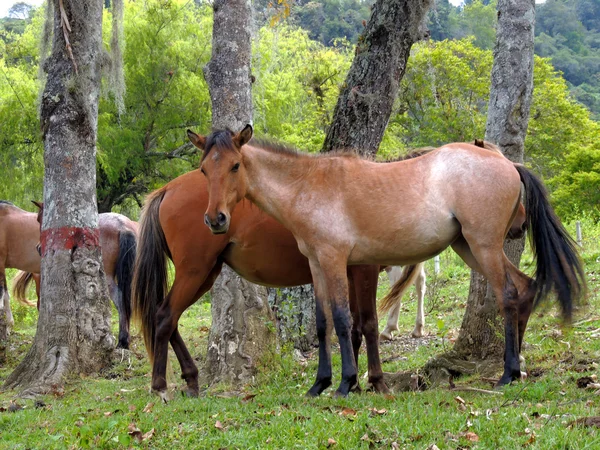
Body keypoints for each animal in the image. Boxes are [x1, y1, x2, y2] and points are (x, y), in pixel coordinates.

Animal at [3, 202, 138, 350]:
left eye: (40, 219)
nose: (38, 248)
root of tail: (121, 225)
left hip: (107, 279)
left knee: (120, 300)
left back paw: (122, 340)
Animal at [132, 170, 390, 400]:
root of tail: (168, 189)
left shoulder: (348, 274)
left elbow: (354, 327)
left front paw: (354, 384)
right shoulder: (365, 270)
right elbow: (369, 324)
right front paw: (376, 381)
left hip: (204, 276)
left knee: (169, 317)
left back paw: (191, 379)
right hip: (193, 273)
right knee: (165, 317)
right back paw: (160, 386)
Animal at [192, 125, 584, 396]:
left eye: (235, 166)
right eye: (204, 170)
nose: (215, 220)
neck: (309, 185)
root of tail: (508, 163)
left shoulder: (336, 262)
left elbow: (344, 320)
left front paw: (347, 383)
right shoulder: (317, 266)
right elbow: (322, 323)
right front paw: (319, 384)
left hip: (483, 246)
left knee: (508, 295)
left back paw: (507, 373)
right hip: (468, 248)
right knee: (524, 288)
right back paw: (516, 368)